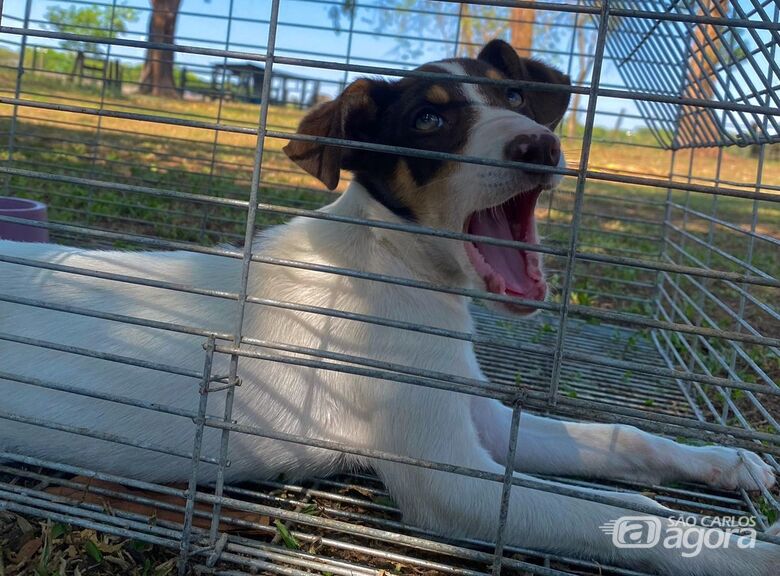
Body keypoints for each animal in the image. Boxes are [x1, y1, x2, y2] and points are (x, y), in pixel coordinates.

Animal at [1, 38, 780, 572]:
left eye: (516, 99)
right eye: (429, 120)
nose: (539, 145)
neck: (397, 269)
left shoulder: (478, 419)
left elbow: (623, 441)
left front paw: (725, 463)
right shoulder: (453, 483)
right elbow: (619, 513)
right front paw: (744, 551)